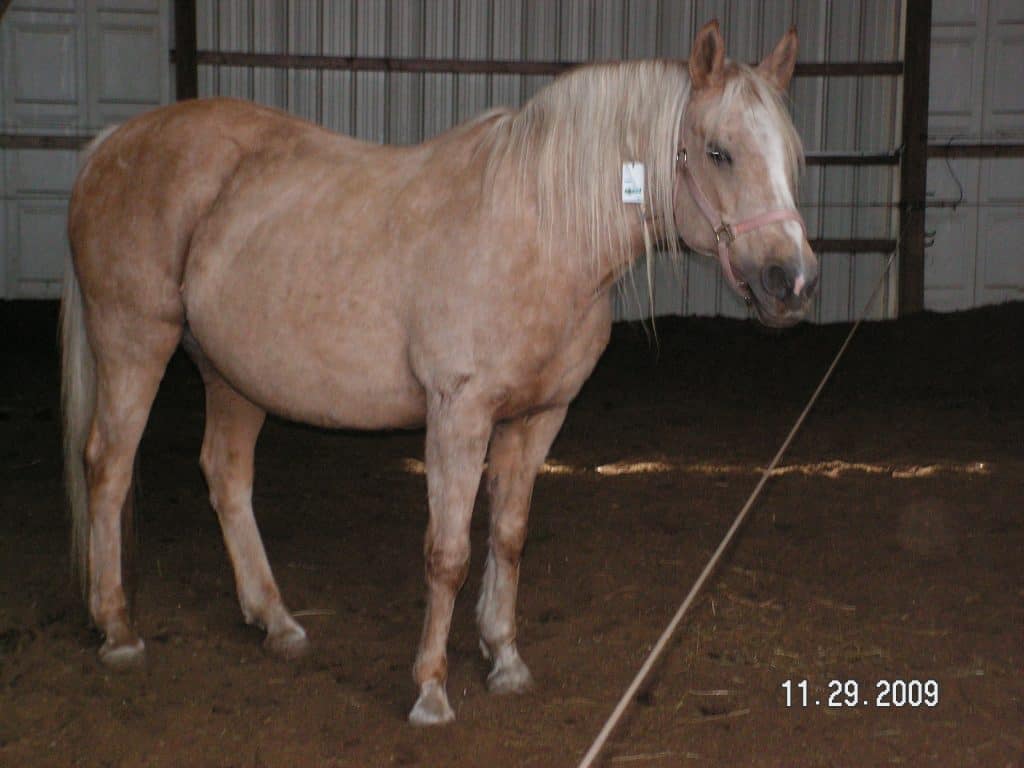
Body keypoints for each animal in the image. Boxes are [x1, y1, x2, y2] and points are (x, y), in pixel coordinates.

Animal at [62, 20, 816, 725]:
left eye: (791, 157)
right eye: (719, 152)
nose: (794, 280)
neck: (542, 230)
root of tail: (112, 144)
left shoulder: (538, 418)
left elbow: (508, 537)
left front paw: (504, 658)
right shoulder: (458, 414)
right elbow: (447, 553)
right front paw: (430, 689)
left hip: (233, 373)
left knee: (225, 475)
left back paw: (275, 621)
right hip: (134, 342)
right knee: (108, 466)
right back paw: (117, 628)